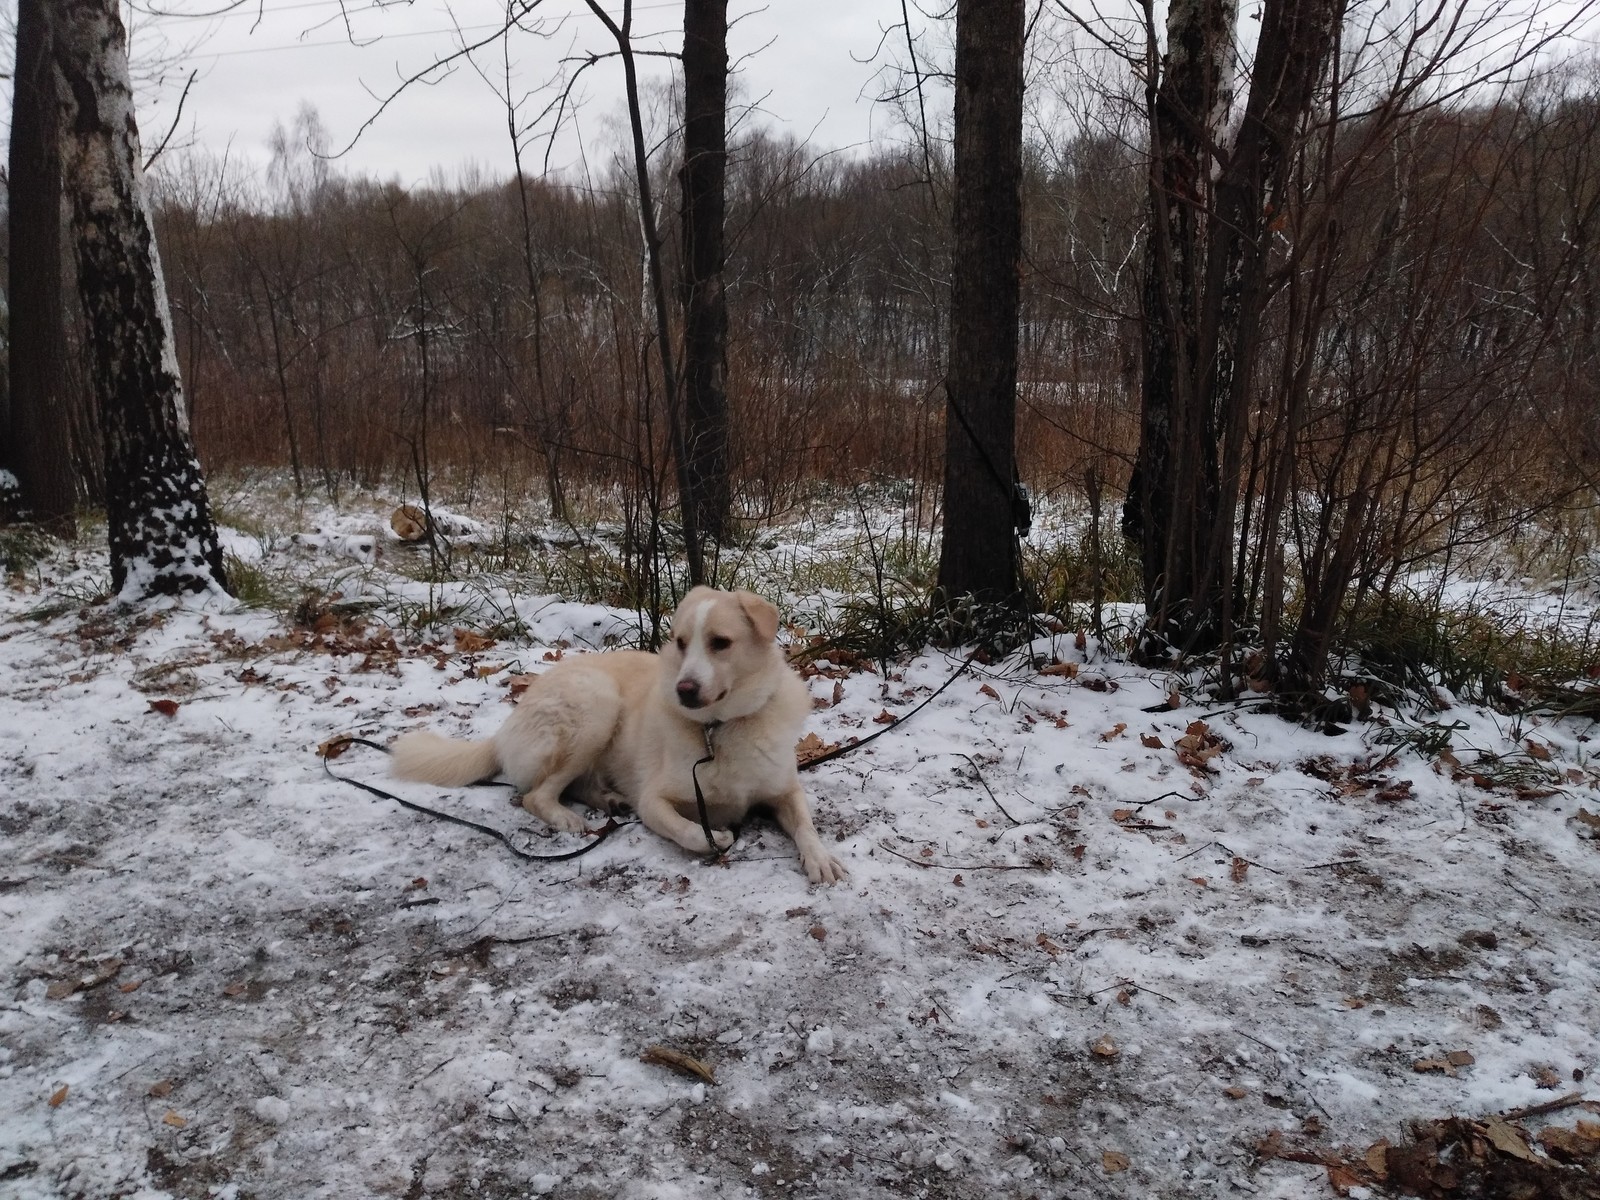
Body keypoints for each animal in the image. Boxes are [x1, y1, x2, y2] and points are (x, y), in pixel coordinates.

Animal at [388, 588, 851, 883]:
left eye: (721, 642)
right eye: (681, 643)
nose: (684, 690)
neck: (718, 728)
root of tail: (505, 727)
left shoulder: (785, 790)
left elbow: (806, 825)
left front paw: (820, 858)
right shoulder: (656, 800)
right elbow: (687, 830)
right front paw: (714, 837)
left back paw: (608, 799)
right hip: (596, 704)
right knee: (537, 795)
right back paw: (568, 817)